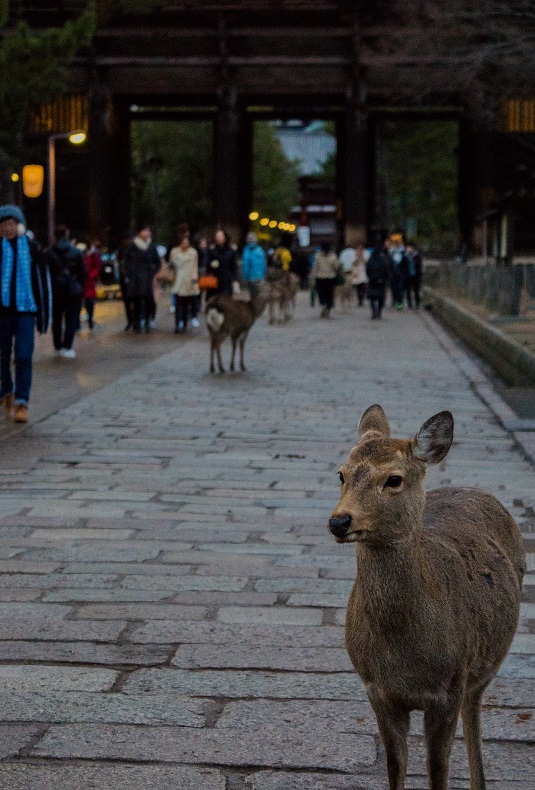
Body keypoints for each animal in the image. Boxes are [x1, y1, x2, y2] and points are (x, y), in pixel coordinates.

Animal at [328, 406, 524, 790]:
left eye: (393, 479)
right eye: (341, 474)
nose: (340, 521)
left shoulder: (447, 689)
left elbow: (438, 769)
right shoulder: (376, 690)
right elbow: (395, 765)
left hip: (484, 664)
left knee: (474, 710)